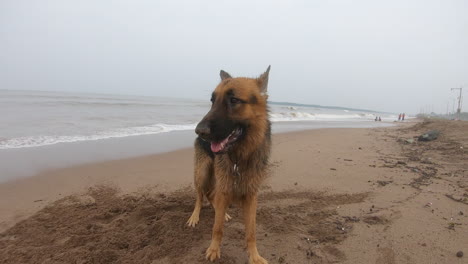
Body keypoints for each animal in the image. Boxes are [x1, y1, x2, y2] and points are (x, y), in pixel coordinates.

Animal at [188, 66, 272, 264]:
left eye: (234, 100)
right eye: (212, 101)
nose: (199, 131)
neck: (240, 157)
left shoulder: (251, 196)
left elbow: (251, 231)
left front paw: (254, 256)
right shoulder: (225, 188)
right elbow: (217, 228)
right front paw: (213, 249)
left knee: (212, 195)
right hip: (202, 172)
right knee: (201, 196)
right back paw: (196, 215)